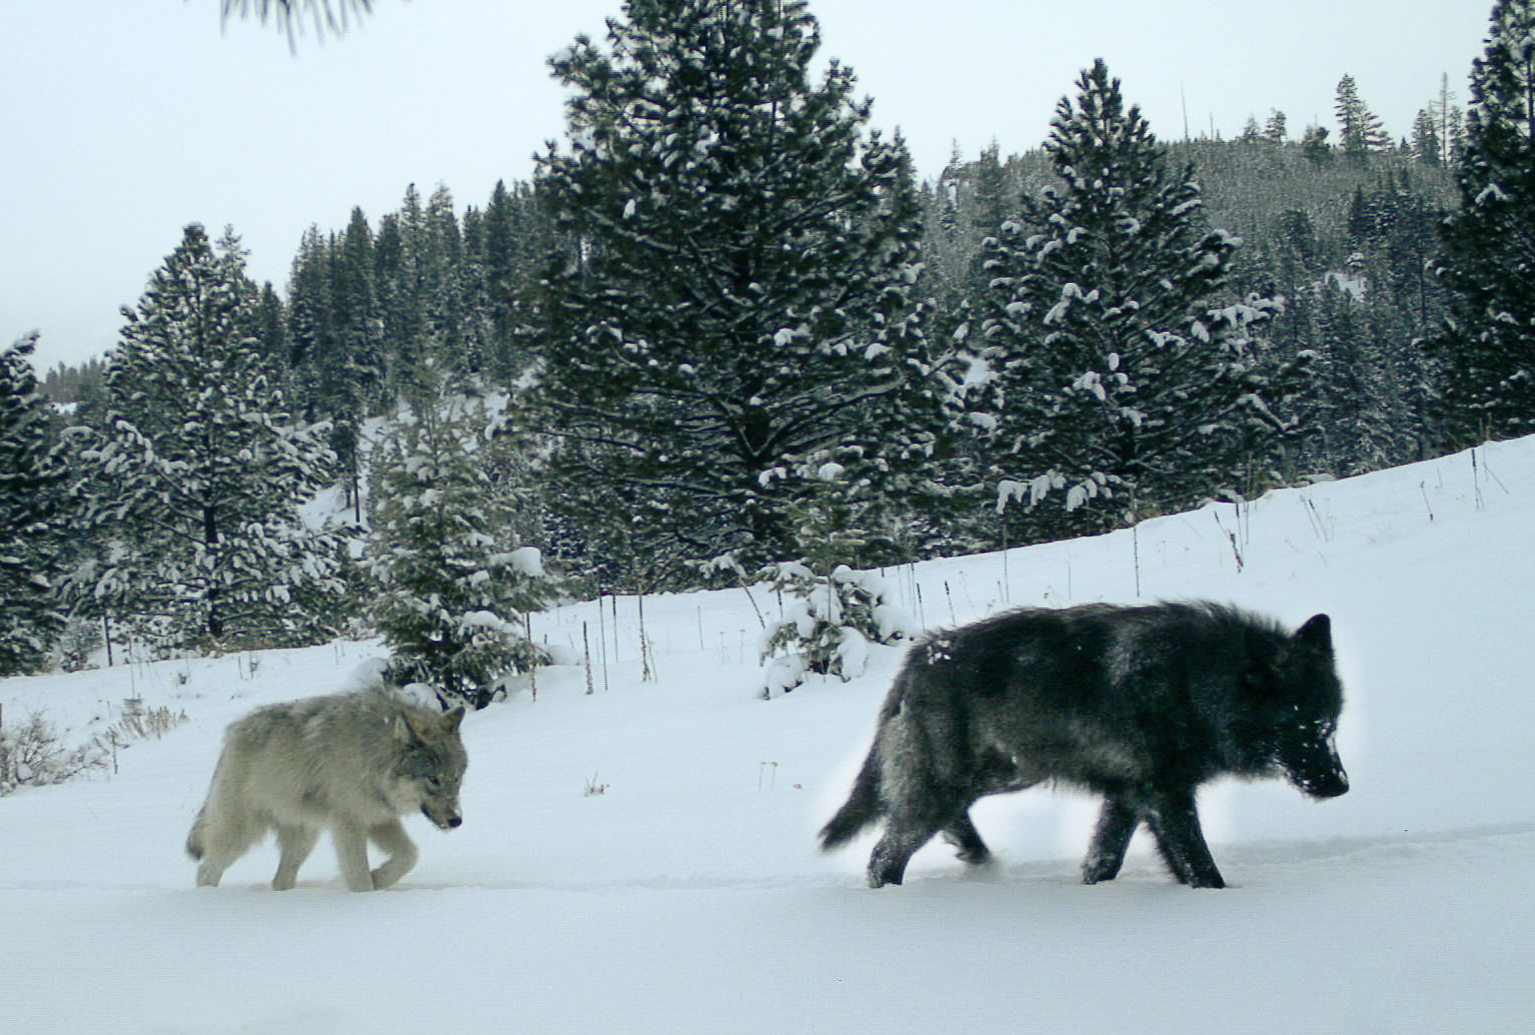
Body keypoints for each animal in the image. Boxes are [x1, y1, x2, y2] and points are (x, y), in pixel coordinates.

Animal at [186, 687, 467, 891]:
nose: (456, 820)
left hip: (304, 840)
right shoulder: (349, 824)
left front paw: (379, 879)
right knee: (205, 870)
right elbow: (359, 876)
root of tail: (233, 732)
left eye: (456, 778)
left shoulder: (379, 818)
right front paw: (367, 894)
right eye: (433, 779)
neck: (370, 757)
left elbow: (410, 855)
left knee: (279, 880)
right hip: (240, 836)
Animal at [820, 602, 1348, 889]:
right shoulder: (1166, 797)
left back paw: (979, 859)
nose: (1340, 787)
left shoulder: (1127, 796)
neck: (1189, 684)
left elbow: (1103, 859)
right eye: (1298, 728)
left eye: (1328, 726)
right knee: (884, 854)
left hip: (997, 776)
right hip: (961, 784)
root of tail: (916, 660)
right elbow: (1199, 866)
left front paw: (1094, 892)